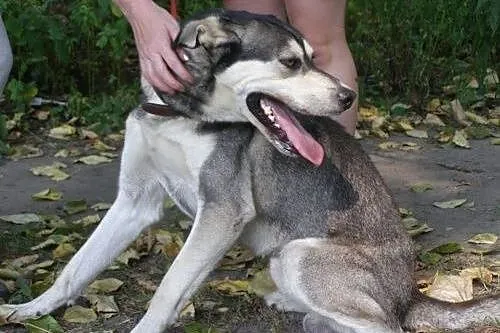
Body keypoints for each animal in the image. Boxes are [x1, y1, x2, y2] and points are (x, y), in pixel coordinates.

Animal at [1, 9, 498, 332]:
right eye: (291, 62)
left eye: (313, 58)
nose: (347, 97)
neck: (180, 115)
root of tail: (410, 294)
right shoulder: (134, 201)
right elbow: (76, 267)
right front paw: (31, 308)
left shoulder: (222, 210)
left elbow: (169, 285)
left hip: (300, 255)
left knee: (385, 326)